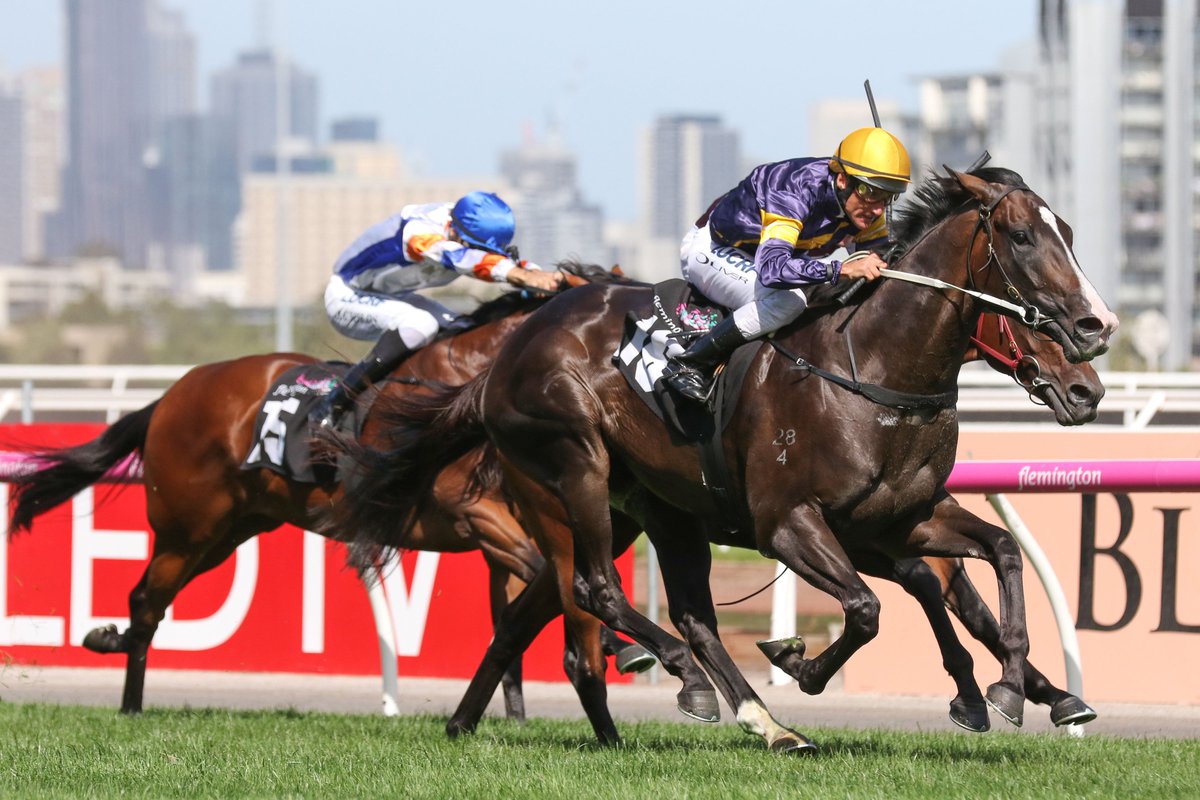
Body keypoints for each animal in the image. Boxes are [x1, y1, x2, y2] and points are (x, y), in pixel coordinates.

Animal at [6, 261, 650, 718]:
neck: (478, 379)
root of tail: (171, 395)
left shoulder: (514, 523)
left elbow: (527, 604)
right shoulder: (473, 511)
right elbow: (546, 576)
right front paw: (623, 646)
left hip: (230, 530)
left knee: (150, 600)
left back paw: (114, 655)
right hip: (186, 527)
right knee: (145, 601)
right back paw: (129, 701)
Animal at [332, 166, 1117, 753]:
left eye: (1071, 235)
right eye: (1022, 236)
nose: (1095, 334)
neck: (872, 367)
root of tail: (504, 357)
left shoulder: (901, 519)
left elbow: (998, 556)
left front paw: (1014, 689)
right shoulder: (790, 524)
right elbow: (868, 609)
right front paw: (801, 665)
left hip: (653, 512)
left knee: (644, 610)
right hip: (573, 469)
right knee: (598, 590)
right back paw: (678, 674)